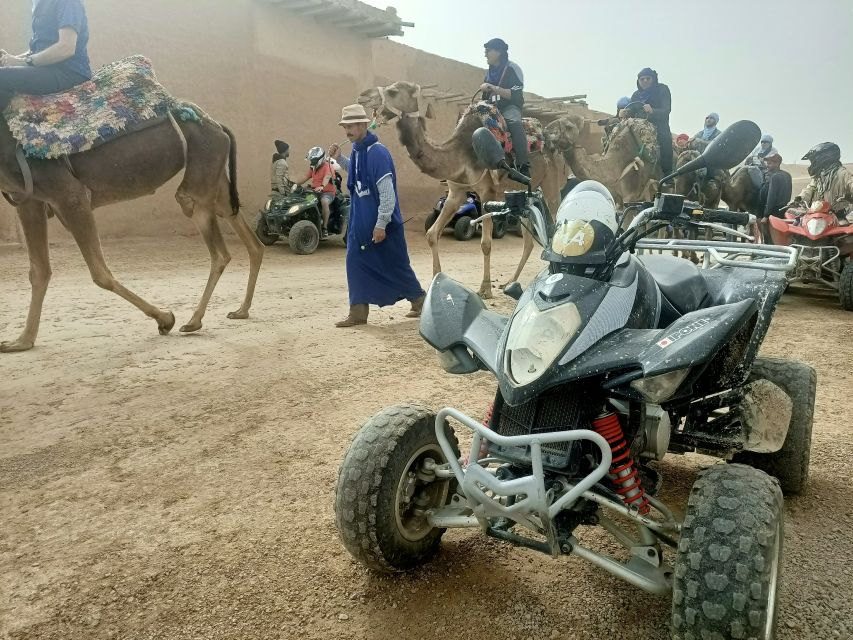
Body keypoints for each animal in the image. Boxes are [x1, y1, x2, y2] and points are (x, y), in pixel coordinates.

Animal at [0, 103, 262, 352]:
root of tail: (217, 124)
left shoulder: (68, 194)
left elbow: (100, 274)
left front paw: (166, 318)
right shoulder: (28, 199)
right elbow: (38, 271)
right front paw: (21, 341)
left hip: (200, 175)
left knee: (219, 250)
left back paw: (194, 320)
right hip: (215, 178)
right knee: (249, 238)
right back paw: (240, 310)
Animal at [356, 82, 564, 298]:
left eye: (393, 91)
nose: (363, 96)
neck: (460, 153)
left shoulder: (487, 192)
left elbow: (486, 243)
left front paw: (485, 288)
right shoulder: (456, 192)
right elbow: (431, 234)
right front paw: (436, 281)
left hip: (551, 183)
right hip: (525, 194)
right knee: (529, 241)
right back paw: (510, 282)